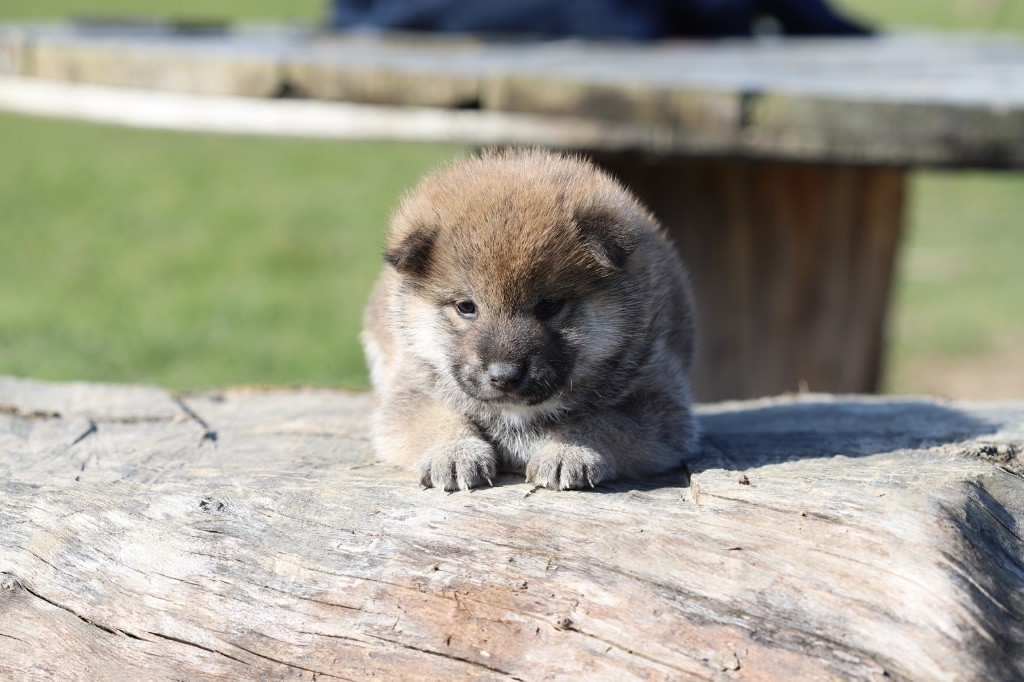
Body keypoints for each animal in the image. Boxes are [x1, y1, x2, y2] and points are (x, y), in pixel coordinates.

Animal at [360, 147, 696, 489]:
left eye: (548, 305)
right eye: (466, 307)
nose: (504, 375)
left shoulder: (655, 407)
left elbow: (605, 423)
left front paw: (569, 451)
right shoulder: (411, 391)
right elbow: (436, 418)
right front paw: (454, 453)